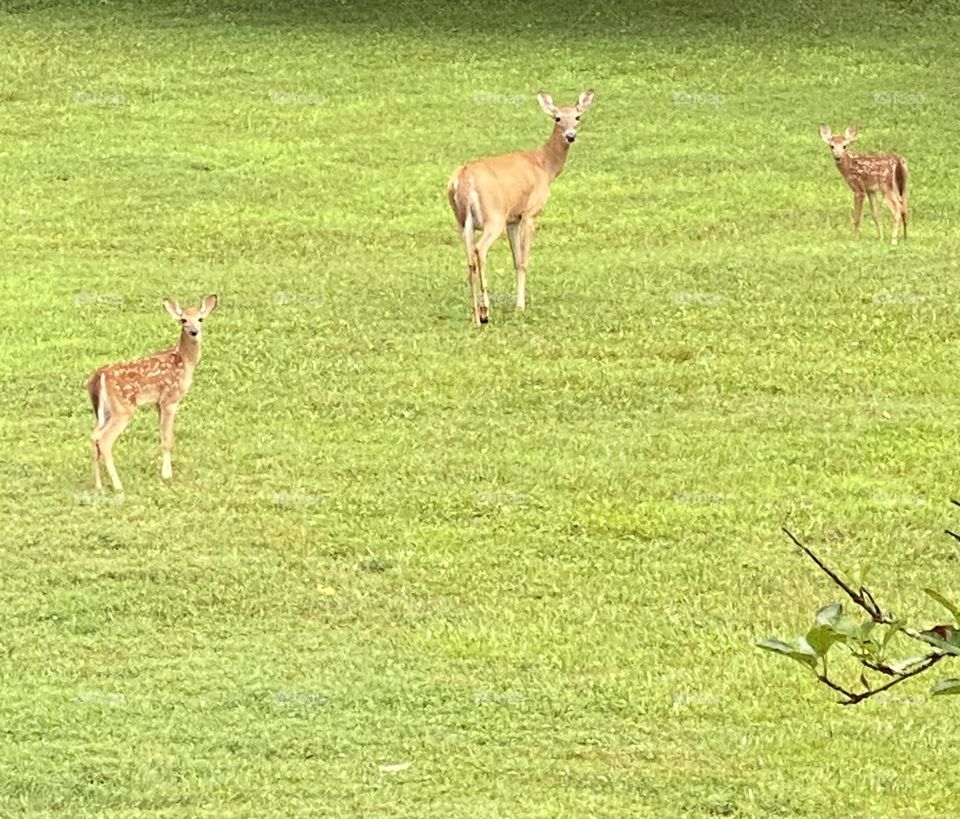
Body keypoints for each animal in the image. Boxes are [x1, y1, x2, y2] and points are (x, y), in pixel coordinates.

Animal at [87, 295, 218, 492]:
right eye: (183, 320)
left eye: (200, 319)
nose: (194, 331)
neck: (185, 361)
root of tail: (100, 375)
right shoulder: (170, 399)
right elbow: (168, 438)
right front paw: (167, 475)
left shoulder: (158, 402)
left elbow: (161, 435)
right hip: (123, 409)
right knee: (104, 440)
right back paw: (117, 485)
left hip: (106, 410)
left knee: (93, 436)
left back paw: (98, 485)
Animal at [448, 90, 595, 325]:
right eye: (557, 118)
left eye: (577, 117)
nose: (571, 136)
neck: (545, 166)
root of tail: (463, 179)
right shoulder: (530, 213)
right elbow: (524, 260)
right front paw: (520, 306)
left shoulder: (513, 219)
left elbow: (516, 260)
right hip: (493, 217)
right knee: (480, 250)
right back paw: (486, 311)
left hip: (462, 221)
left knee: (469, 257)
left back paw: (475, 316)